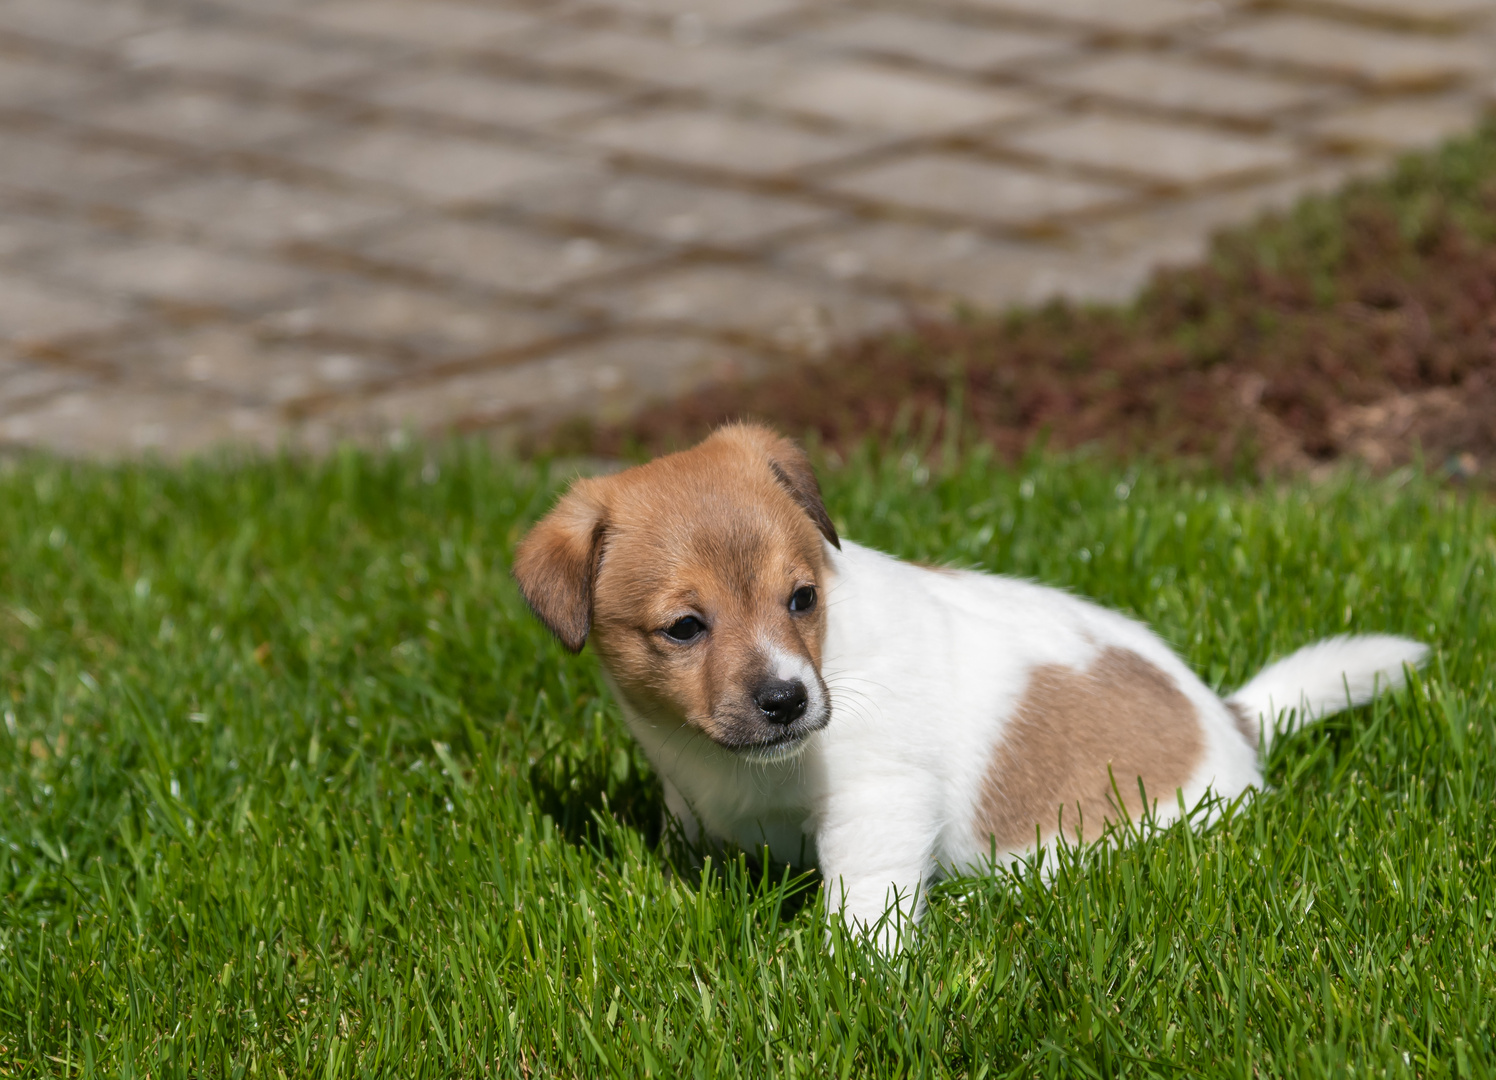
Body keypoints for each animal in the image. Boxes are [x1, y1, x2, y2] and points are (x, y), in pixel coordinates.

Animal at [511, 424, 1424, 939]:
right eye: (685, 628)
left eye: (802, 598)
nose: (787, 700)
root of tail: (1231, 720)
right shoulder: (695, 802)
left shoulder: (879, 803)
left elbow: (863, 904)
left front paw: (855, 975)